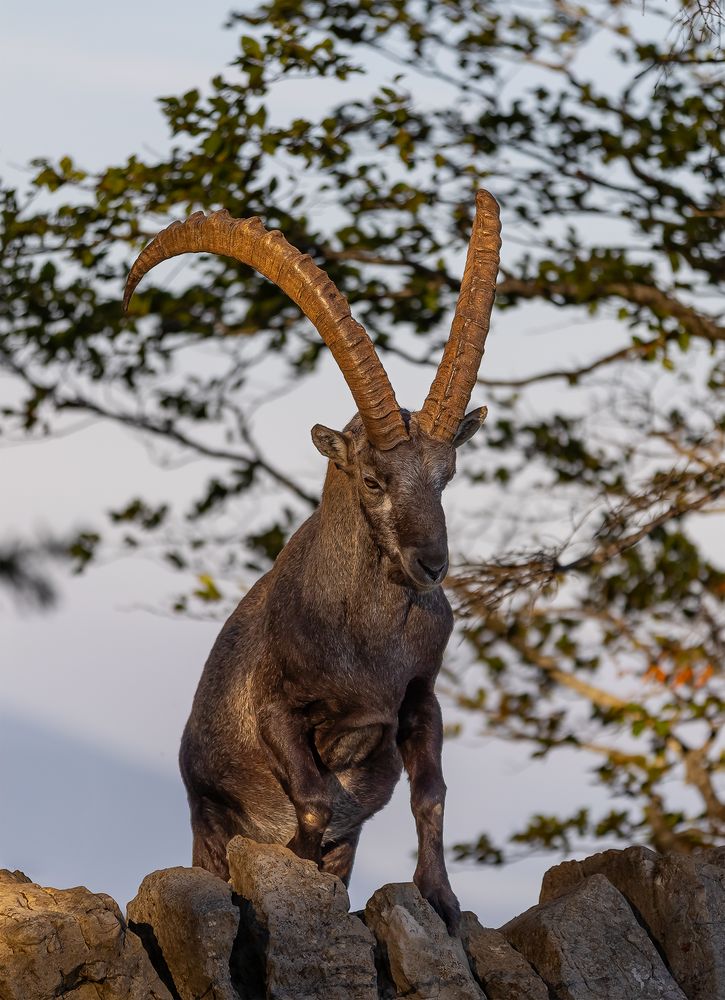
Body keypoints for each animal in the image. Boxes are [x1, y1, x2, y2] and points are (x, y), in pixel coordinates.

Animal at [124, 191, 498, 932]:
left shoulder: (420, 697)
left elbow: (431, 795)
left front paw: (442, 901)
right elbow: (315, 801)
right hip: (208, 822)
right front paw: (293, 876)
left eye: (445, 476)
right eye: (373, 480)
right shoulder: (279, 711)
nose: (432, 566)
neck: (370, 644)